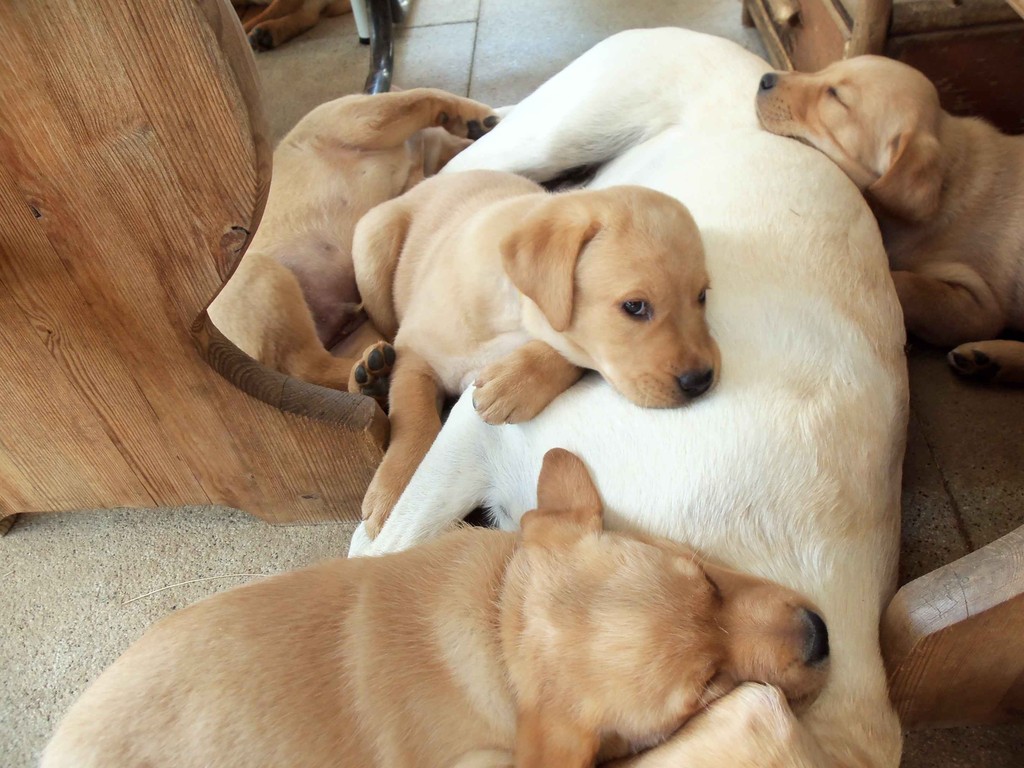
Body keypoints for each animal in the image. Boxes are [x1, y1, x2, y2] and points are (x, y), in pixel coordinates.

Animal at [207, 89, 495, 399]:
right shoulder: (363, 119)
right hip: (260, 272)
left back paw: (372, 378)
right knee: (308, 368)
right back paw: (378, 377)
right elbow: (420, 98)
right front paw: (474, 116)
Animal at [352, 171, 720, 536]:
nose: (701, 381)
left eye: (701, 296)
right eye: (635, 306)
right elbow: (414, 420)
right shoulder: (415, 354)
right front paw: (393, 494)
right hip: (372, 246)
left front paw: (514, 383)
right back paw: (372, 368)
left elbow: (563, 353)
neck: (512, 316)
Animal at [753, 55, 1024, 385]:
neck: (947, 180)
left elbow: (906, 286)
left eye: (836, 96)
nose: (765, 79)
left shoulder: (981, 308)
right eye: (826, 70)